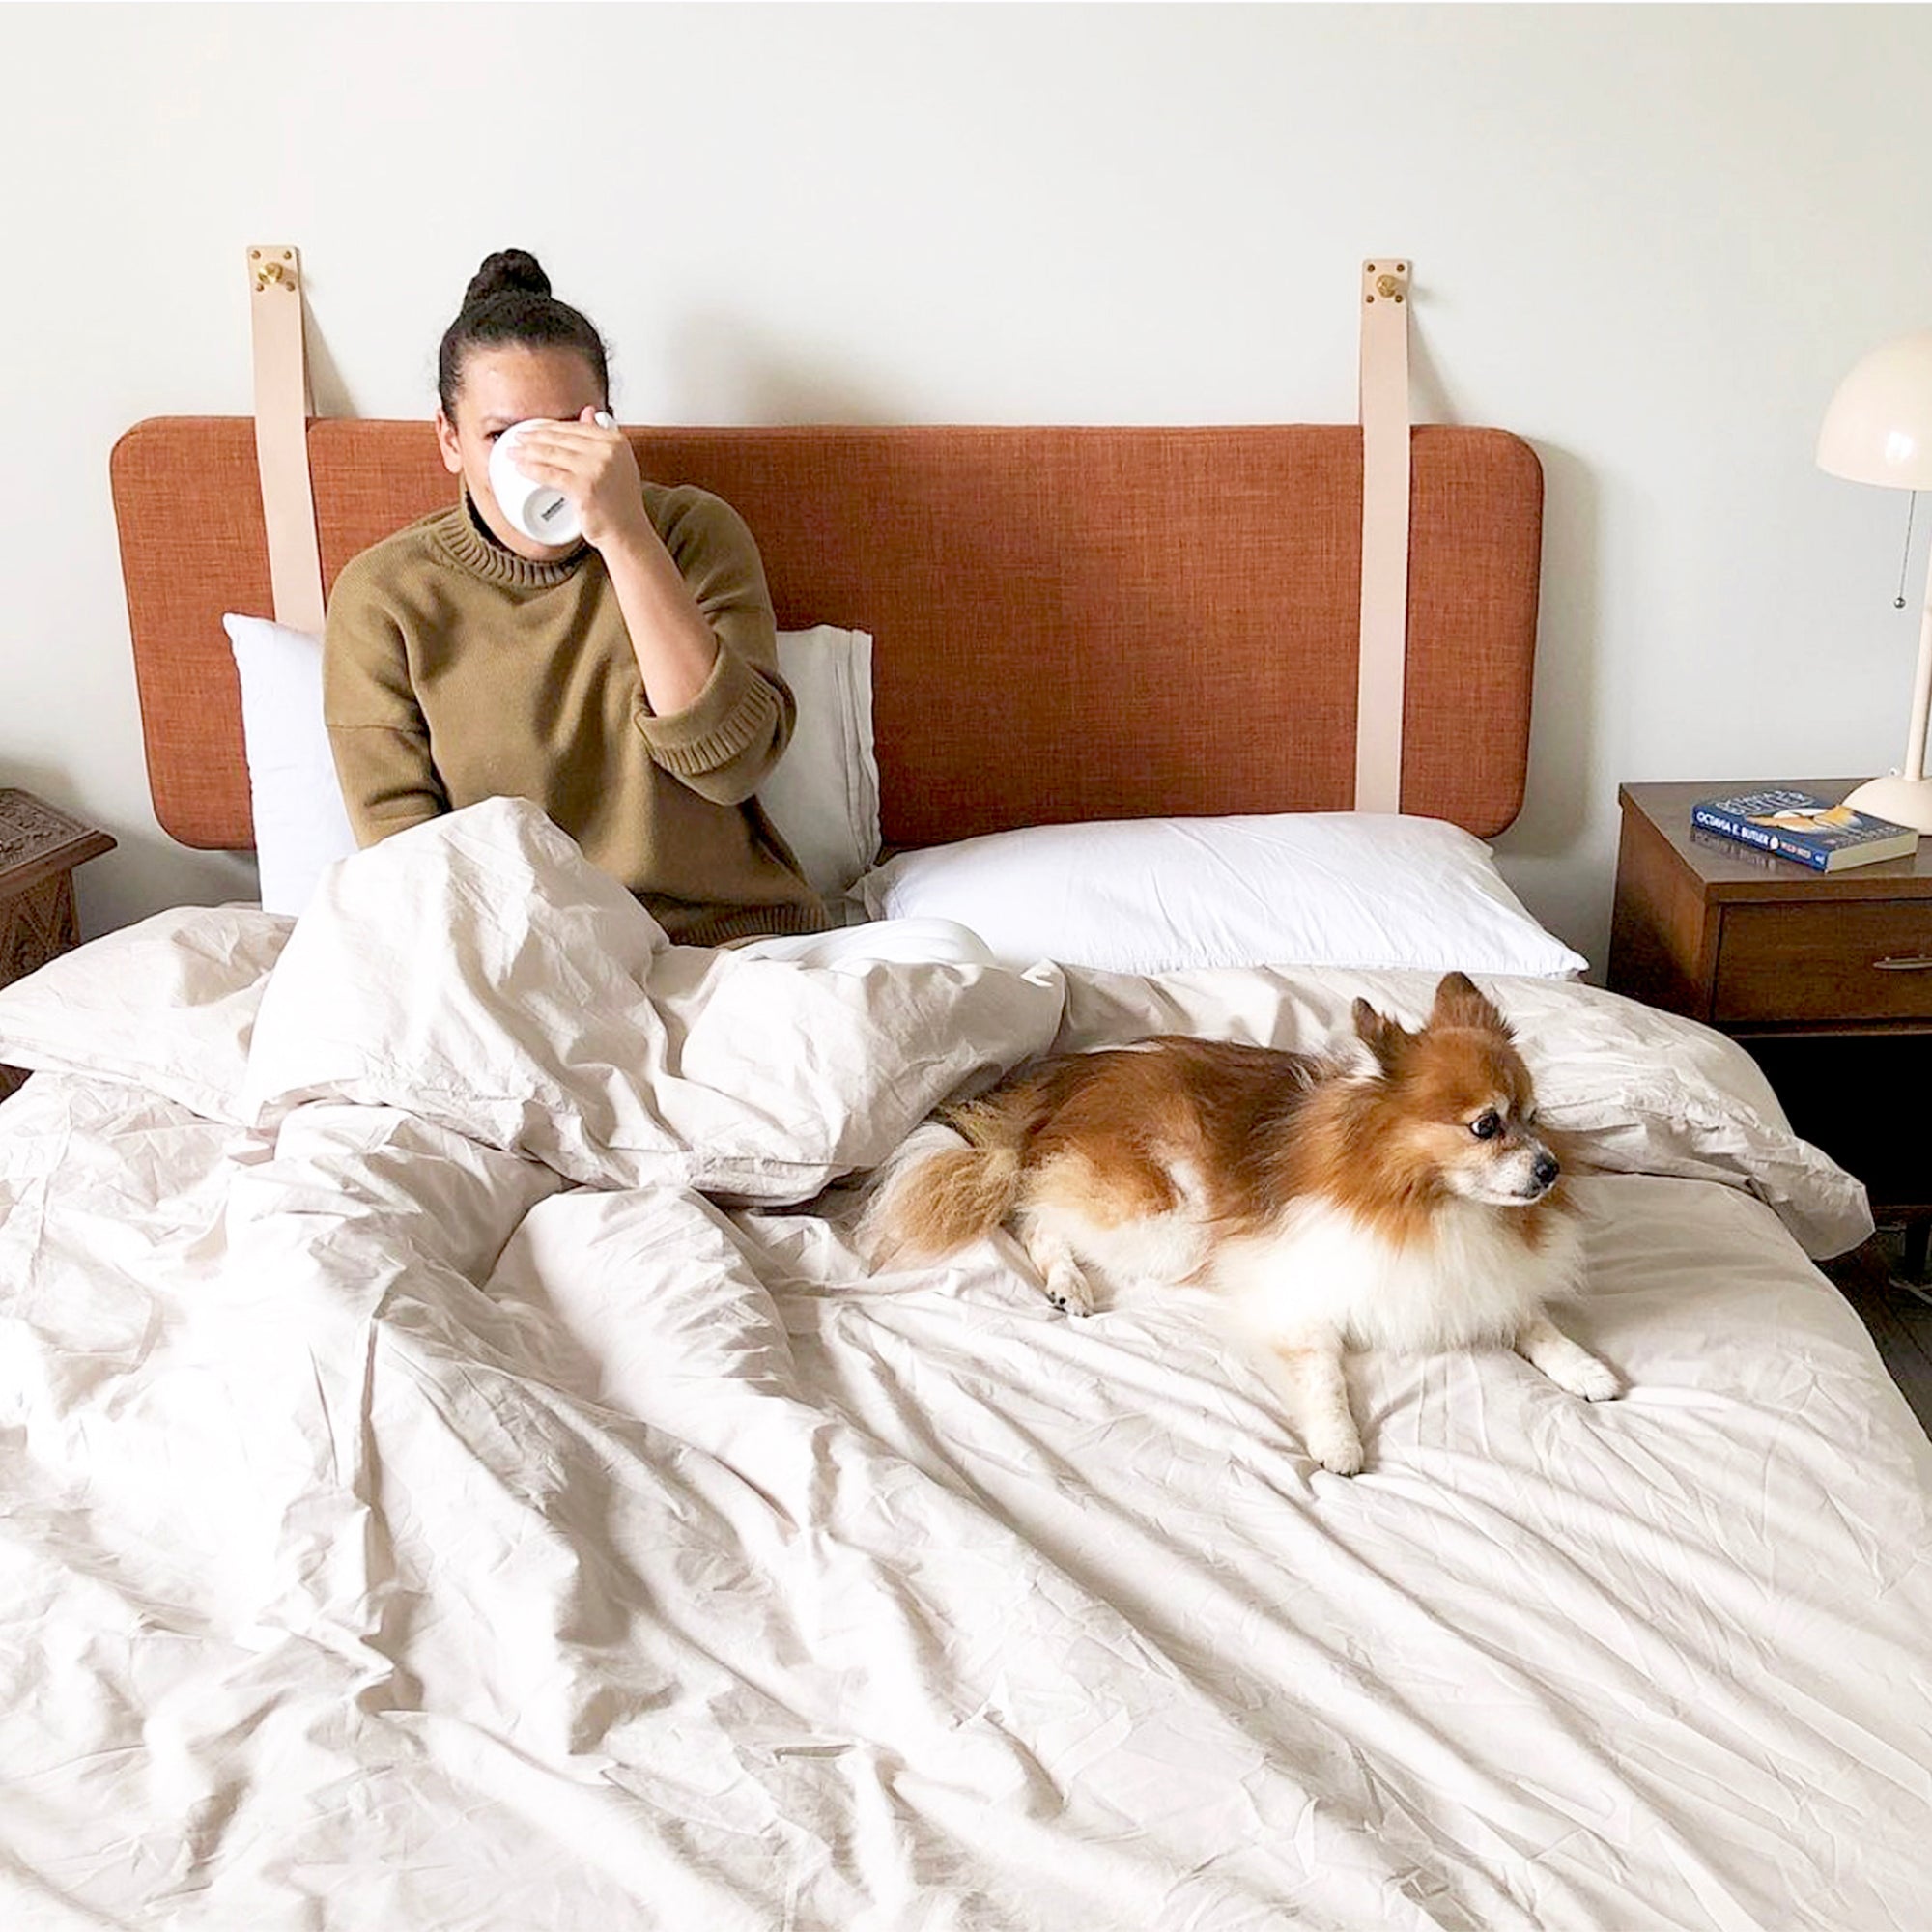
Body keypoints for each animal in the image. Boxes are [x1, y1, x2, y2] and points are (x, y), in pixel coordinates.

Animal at [862, 974, 1615, 1468]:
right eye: (1486, 1125)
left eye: (1535, 1117)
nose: (1550, 1170)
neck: (1429, 1205)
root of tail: (1060, 1080)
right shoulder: (1302, 1291)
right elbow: (1324, 1374)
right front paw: (1338, 1442)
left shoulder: (1473, 1283)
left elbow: (1533, 1322)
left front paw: (1585, 1368)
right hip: (1166, 1221)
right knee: (1029, 1207)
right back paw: (1067, 1283)